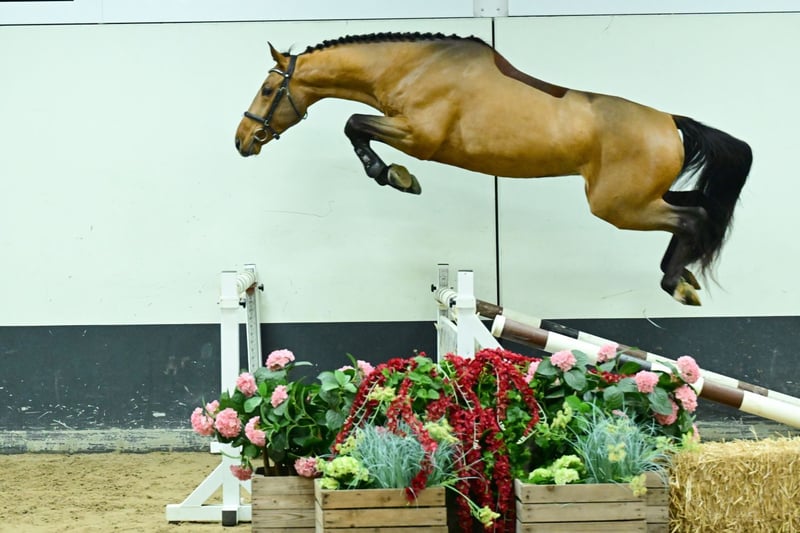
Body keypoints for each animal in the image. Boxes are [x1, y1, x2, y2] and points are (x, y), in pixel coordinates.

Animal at [234, 32, 752, 306]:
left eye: (267, 89)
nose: (241, 141)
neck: (412, 67)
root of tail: (670, 121)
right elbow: (355, 125)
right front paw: (396, 176)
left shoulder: (418, 136)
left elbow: (354, 124)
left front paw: (396, 176)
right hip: (637, 199)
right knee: (700, 208)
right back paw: (681, 276)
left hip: (619, 207)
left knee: (693, 218)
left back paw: (676, 284)